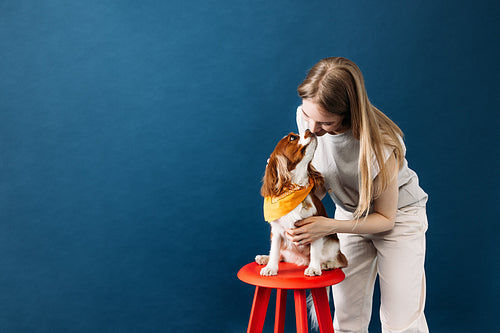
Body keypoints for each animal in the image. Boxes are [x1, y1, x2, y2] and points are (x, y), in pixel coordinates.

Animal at [256, 129, 346, 274]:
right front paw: (270, 267)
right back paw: (264, 258)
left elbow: (315, 251)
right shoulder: (276, 231)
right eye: (293, 138)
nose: (308, 130)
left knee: (342, 260)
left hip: (332, 244)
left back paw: (328, 264)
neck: (295, 187)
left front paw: (314, 268)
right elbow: (274, 250)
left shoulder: (315, 229)